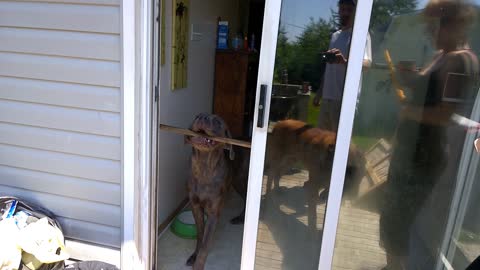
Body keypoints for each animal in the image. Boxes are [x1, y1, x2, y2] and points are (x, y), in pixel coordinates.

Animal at [184, 113, 234, 270]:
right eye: (196, 116)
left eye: (217, 121)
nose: (202, 117)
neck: (204, 167)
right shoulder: (195, 206)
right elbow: (200, 235)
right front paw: (194, 256)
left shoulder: (213, 213)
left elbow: (206, 245)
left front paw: (199, 264)